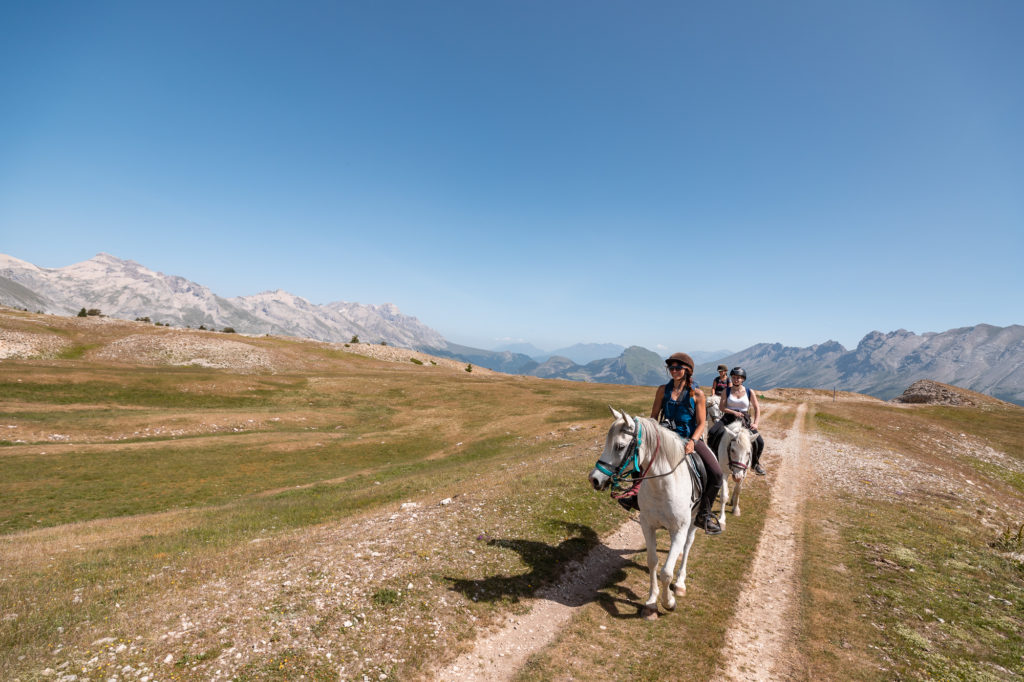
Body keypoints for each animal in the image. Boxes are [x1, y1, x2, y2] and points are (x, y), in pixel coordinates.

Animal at [589, 405, 700, 618]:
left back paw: (680, 584)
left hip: (693, 520)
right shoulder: (647, 525)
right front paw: (651, 603)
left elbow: (666, 572)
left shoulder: (679, 529)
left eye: (620, 446)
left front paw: (668, 602)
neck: (662, 486)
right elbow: (653, 562)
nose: (594, 479)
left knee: (688, 545)